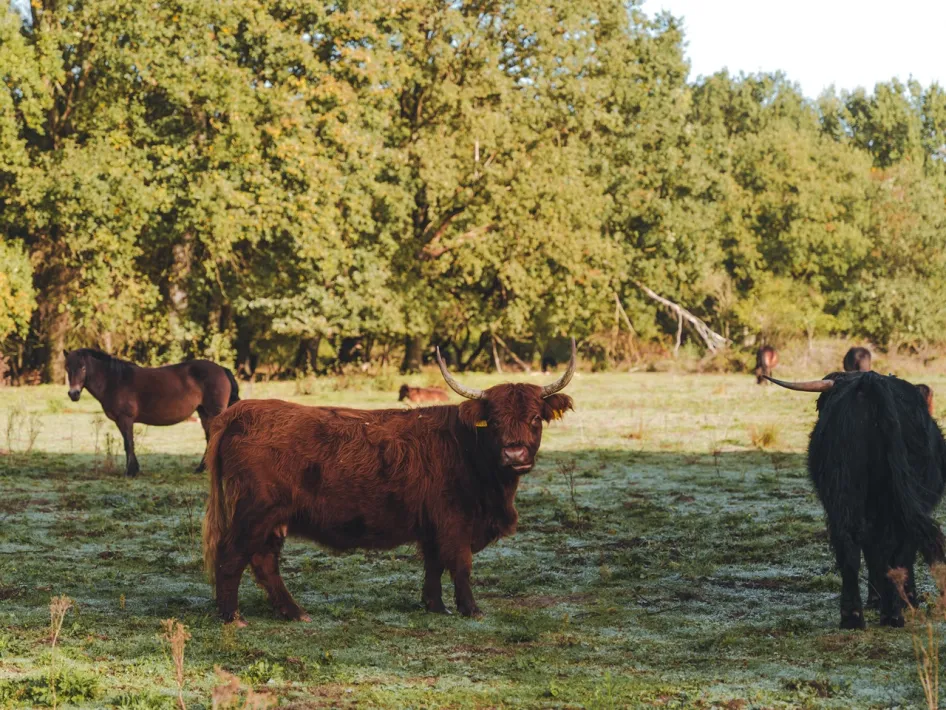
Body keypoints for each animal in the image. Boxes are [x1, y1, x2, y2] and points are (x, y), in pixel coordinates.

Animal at [64, 349, 240, 477]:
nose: (74, 394)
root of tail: (221, 369)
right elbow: (129, 443)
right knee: (210, 437)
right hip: (204, 413)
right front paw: (134, 469)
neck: (115, 381)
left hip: (214, 412)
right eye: (67, 368)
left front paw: (130, 472)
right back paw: (201, 468)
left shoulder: (125, 419)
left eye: (83, 367)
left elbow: (129, 444)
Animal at [202, 340, 577, 624]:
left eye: (534, 418)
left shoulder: (433, 526)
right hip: (255, 511)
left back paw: (294, 612)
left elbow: (434, 565)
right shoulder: (454, 522)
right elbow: (460, 565)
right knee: (232, 555)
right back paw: (232, 616)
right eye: (495, 420)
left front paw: (435, 606)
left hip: (272, 519)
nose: (515, 454)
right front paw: (471, 609)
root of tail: (240, 413)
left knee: (264, 562)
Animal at [765, 371, 946, 628]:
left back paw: (853, 617)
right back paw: (892, 614)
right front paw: (906, 598)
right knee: (892, 547)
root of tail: (868, 382)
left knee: (850, 544)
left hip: (843, 490)